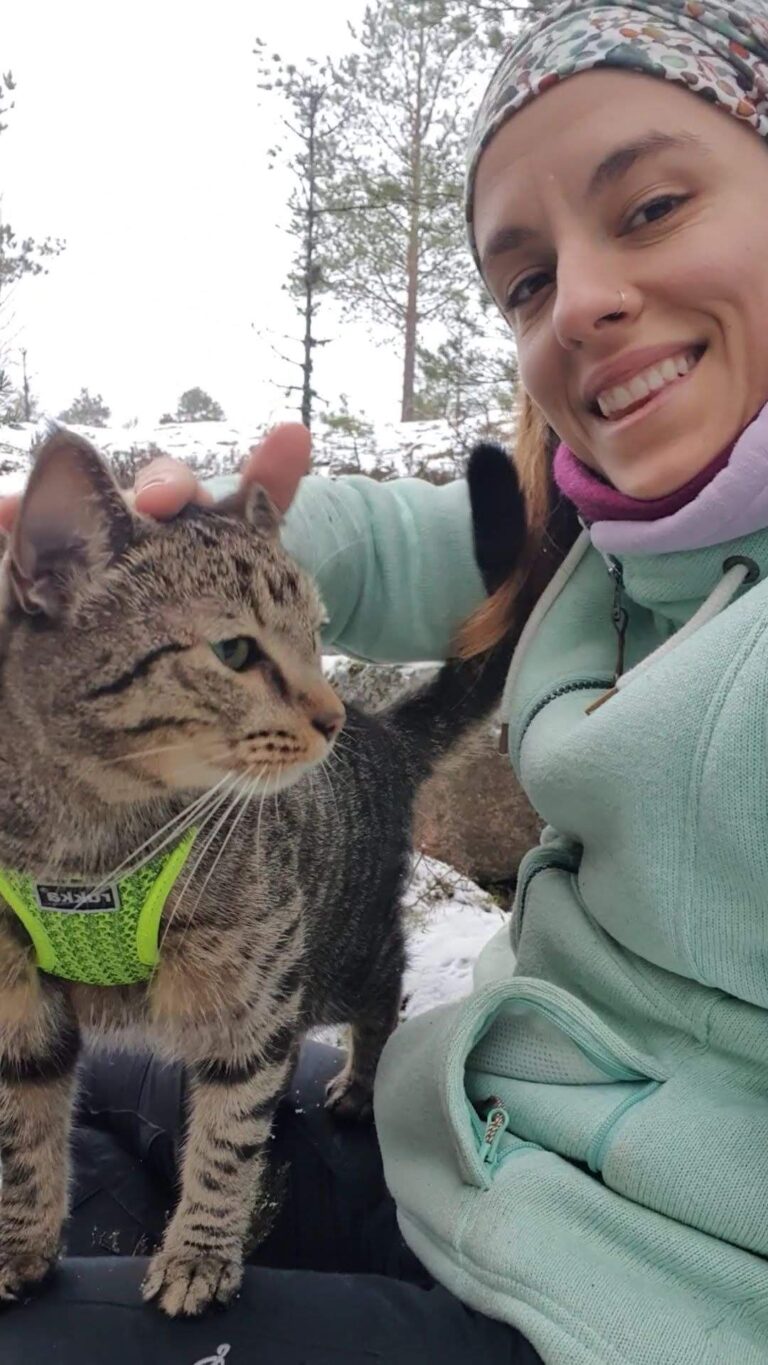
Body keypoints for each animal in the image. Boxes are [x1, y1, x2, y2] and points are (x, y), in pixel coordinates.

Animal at [0, 426, 531, 1319]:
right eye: (235, 650)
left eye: (317, 635)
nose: (330, 713)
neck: (88, 847)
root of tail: (382, 734)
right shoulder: (17, 1013)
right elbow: (24, 1139)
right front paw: (19, 1244)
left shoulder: (253, 1001)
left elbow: (223, 1147)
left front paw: (199, 1254)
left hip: (335, 956)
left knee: (385, 995)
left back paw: (358, 1082)